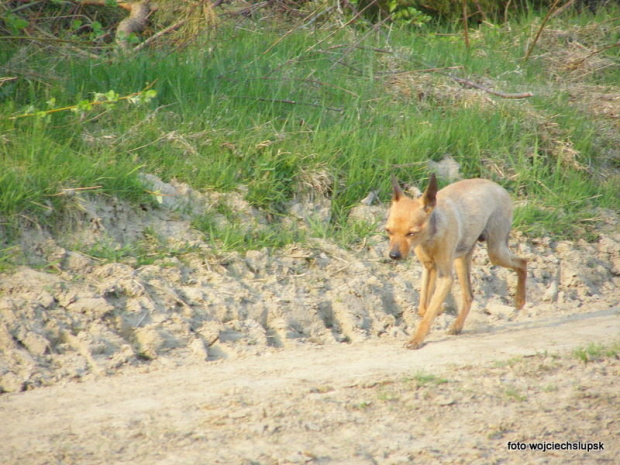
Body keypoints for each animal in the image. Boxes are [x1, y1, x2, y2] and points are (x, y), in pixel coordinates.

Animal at [388, 174, 528, 348]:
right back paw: (457, 326)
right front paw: (437, 312)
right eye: (388, 231)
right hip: (462, 260)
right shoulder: (429, 269)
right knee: (469, 296)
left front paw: (417, 339)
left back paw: (520, 300)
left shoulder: (445, 277)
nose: (393, 255)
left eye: (411, 233)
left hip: (495, 252)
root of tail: (497, 186)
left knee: (523, 263)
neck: (430, 236)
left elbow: (428, 313)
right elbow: (424, 308)